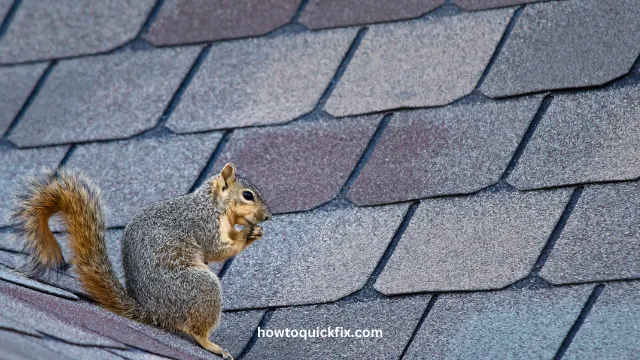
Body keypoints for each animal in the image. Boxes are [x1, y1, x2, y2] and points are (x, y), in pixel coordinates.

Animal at [11, 164, 272, 360]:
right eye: (247, 195)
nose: (268, 216)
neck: (212, 203)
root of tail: (154, 313)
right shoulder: (203, 224)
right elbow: (216, 249)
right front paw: (247, 235)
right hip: (199, 286)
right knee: (196, 329)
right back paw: (211, 345)